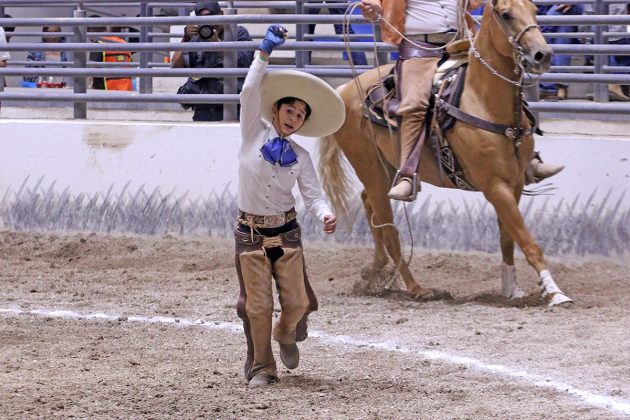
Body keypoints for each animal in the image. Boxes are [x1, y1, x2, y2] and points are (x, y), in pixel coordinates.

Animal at [324, 0, 576, 308]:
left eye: (534, 10)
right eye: (506, 14)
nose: (543, 54)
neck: (483, 102)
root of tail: (345, 89)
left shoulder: (514, 184)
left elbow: (508, 238)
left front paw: (511, 289)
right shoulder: (495, 187)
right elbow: (528, 242)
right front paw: (555, 292)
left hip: (383, 170)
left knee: (370, 206)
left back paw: (376, 269)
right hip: (369, 168)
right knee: (391, 229)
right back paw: (415, 287)